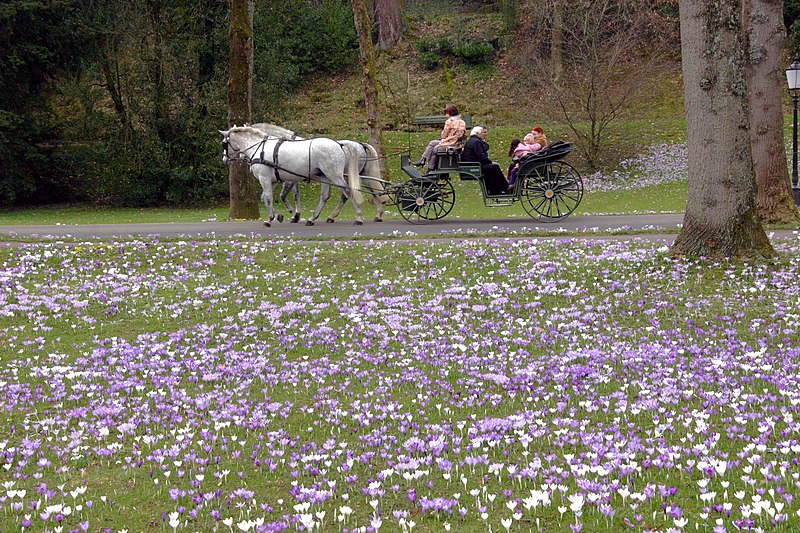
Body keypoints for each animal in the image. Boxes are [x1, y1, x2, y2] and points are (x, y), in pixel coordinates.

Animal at [222, 125, 366, 225]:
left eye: (224, 144)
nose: (224, 159)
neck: (259, 148)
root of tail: (339, 144)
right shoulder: (274, 180)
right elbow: (266, 198)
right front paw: (280, 215)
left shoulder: (265, 179)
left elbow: (269, 197)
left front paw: (271, 219)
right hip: (325, 176)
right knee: (325, 196)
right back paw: (312, 219)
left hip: (335, 175)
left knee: (347, 191)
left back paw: (358, 217)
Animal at [250, 123, 388, 221]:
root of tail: (360, 145)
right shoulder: (293, 177)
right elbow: (293, 195)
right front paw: (293, 214)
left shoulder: (289, 179)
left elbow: (284, 195)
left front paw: (293, 214)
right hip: (362, 175)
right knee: (372, 191)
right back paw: (378, 213)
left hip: (342, 176)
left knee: (346, 194)